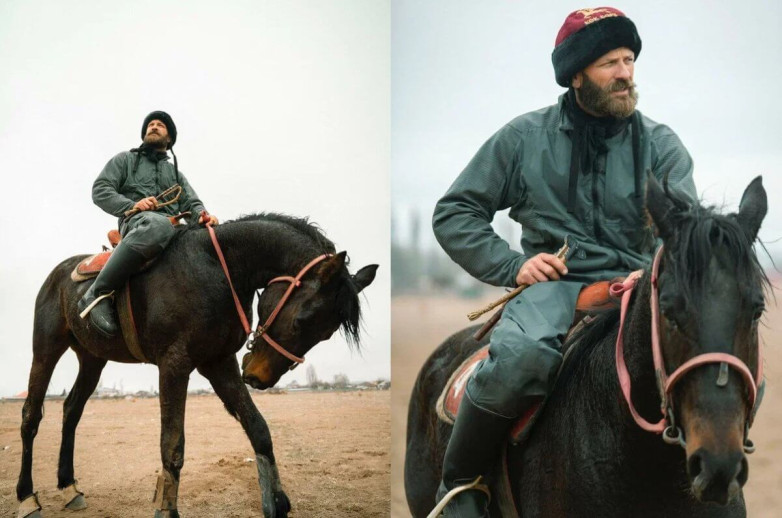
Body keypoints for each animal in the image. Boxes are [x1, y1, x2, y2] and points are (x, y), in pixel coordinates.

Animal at [14, 213, 376, 516]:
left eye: (326, 334)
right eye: (301, 321)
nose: (259, 377)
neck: (218, 269)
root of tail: (61, 273)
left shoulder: (219, 362)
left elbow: (259, 429)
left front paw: (276, 502)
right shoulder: (174, 365)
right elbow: (172, 446)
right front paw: (167, 510)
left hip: (92, 358)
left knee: (71, 410)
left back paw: (68, 486)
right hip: (46, 350)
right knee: (31, 416)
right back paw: (27, 497)